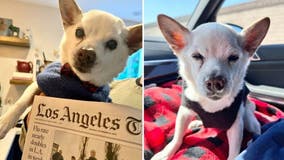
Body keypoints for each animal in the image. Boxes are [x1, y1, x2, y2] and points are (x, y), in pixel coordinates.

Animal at [0, 0, 142, 139]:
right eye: (79, 32)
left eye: (112, 44)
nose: (87, 53)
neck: (78, 80)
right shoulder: (37, 84)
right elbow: (21, 101)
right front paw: (5, 122)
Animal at [152, 14, 270, 159]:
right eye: (197, 56)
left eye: (233, 57)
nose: (215, 82)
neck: (212, 106)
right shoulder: (184, 112)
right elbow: (177, 136)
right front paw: (166, 152)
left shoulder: (236, 126)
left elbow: (234, 151)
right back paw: (197, 123)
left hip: (248, 119)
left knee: (258, 130)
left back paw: (252, 142)